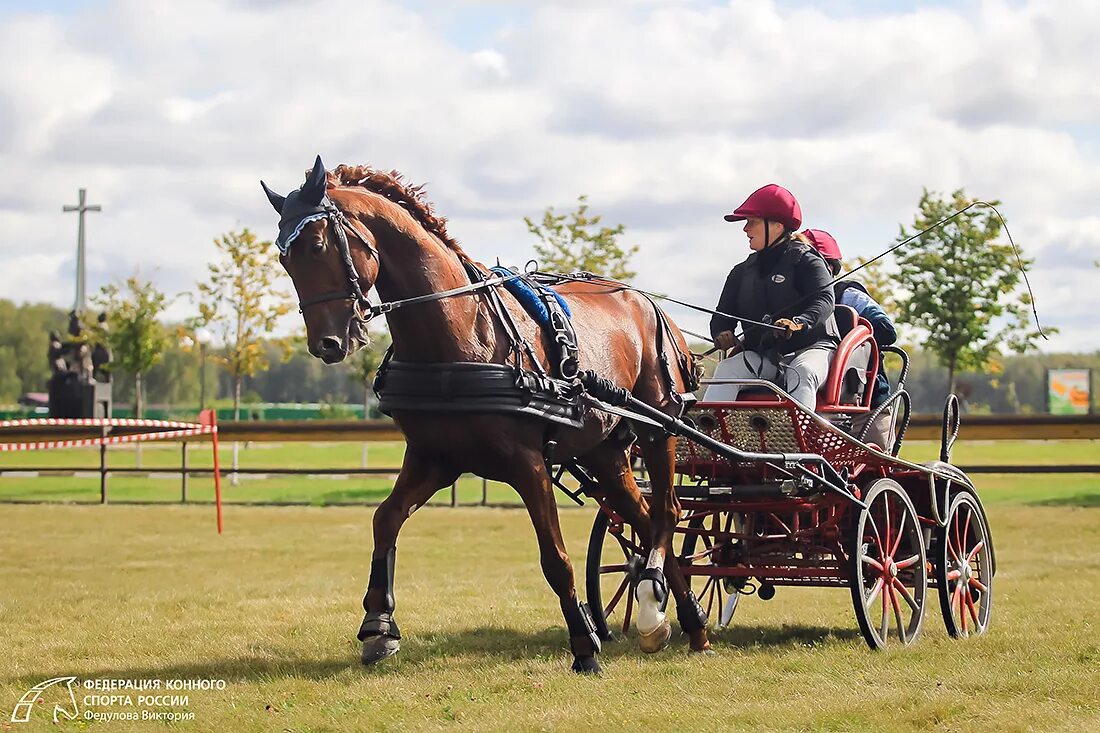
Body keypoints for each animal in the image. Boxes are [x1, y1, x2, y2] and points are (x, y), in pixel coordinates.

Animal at [260, 157, 708, 669]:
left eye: (317, 244)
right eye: (284, 259)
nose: (329, 344)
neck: (458, 337)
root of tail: (648, 303)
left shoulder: (528, 464)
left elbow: (555, 558)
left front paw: (584, 645)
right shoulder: (435, 458)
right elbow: (384, 519)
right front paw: (378, 626)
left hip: (658, 428)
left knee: (667, 512)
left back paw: (656, 601)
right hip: (603, 452)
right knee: (646, 518)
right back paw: (682, 620)